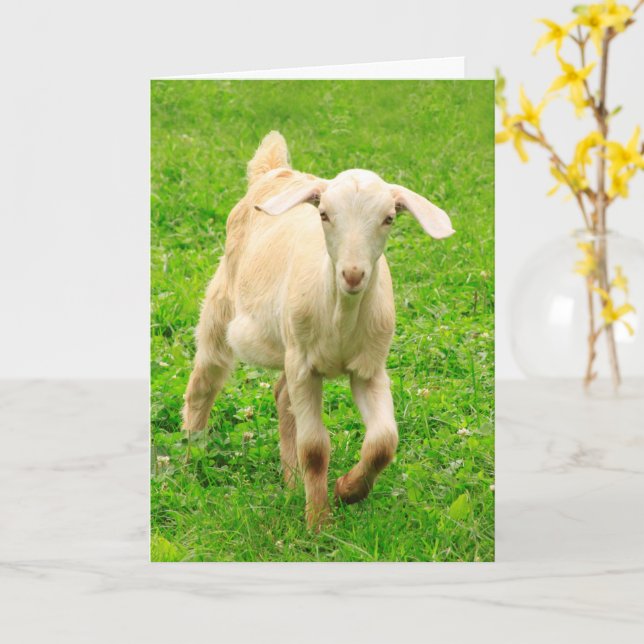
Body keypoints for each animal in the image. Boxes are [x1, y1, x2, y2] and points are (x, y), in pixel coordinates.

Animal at [183, 131, 454, 528]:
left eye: (389, 218)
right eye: (324, 214)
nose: (353, 274)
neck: (341, 317)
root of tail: (275, 171)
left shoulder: (369, 369)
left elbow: (383, 442)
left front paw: (347, 491)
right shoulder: (305, 367)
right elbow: (314, 448)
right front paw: (318, 523)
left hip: (288, 345)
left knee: (282, 397)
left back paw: (292, 482)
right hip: (222, 307)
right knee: (204, 383)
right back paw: (188, 458)